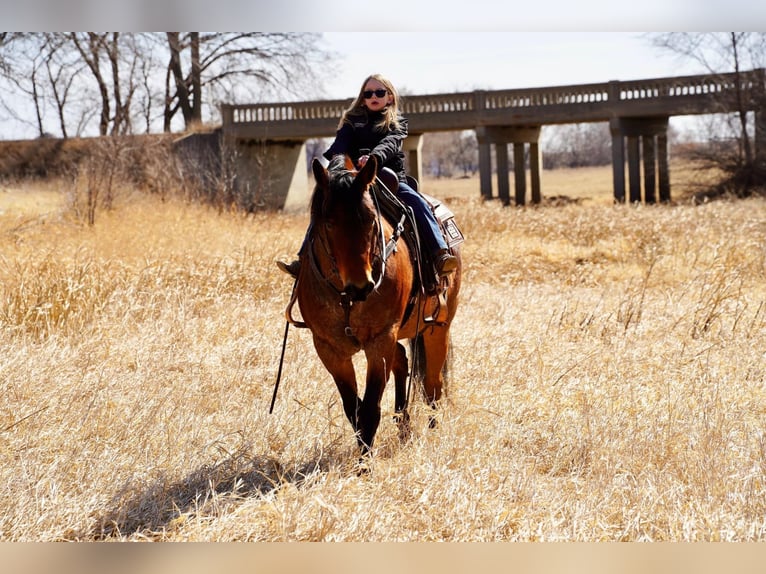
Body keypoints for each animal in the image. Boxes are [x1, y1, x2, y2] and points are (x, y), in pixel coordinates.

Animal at [292, 155, 462, 456]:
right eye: (329, 222)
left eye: (372, 220)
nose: (362, 285)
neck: (347, 297)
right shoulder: (329, 349)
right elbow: (353, 409)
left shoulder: (380, 341)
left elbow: (370, 409)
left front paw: (365, 462)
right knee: (403, 362)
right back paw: (403, 427)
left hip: (437, 328)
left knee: (433, 385)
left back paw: (431, 431)